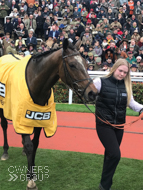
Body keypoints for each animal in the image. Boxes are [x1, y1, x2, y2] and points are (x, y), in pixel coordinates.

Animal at [0, 38, 98, 189]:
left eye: (86, 63)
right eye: (72, 65)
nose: (92, 93)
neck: (35, 82)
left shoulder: (39, 118)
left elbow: (35, 144)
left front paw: (32, 172)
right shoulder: (22, 117)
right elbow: (29, 145)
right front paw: (30, 180)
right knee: (4, 125)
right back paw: (5, 152)